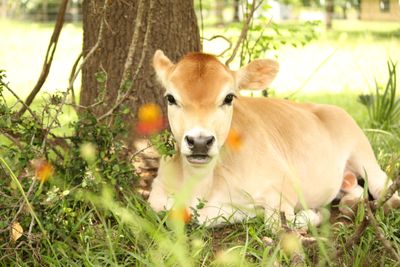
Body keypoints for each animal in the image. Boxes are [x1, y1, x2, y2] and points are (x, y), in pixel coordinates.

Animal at [148, 51, 400, 229]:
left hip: (361, 149)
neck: (202, 186)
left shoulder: (282, 187)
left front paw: (314, 214)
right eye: (170, 98)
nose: (199, 141)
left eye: (229, 97)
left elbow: (279, 223)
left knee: (382, 185)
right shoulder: (157, 191)